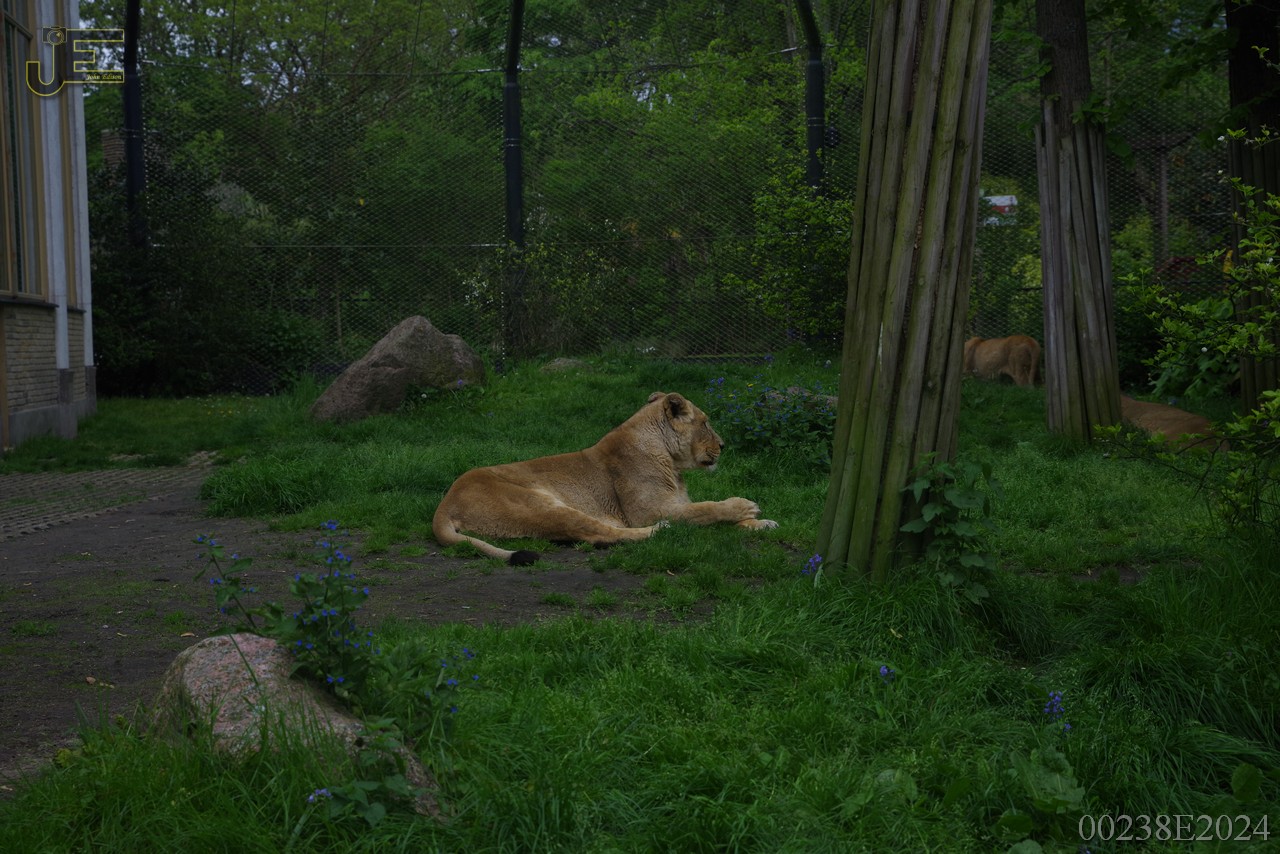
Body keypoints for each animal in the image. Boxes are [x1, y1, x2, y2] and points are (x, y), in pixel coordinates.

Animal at [432, 391, 778, 565]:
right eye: (705, 423)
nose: (724, 445)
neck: (672, 463)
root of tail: (445, 503)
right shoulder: (650, 511)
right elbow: (706, 510)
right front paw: (746, 507)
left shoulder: (677, 504)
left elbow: (707, 515)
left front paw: (761, 524)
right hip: (540, 504)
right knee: (599, 534)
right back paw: (660, 531)